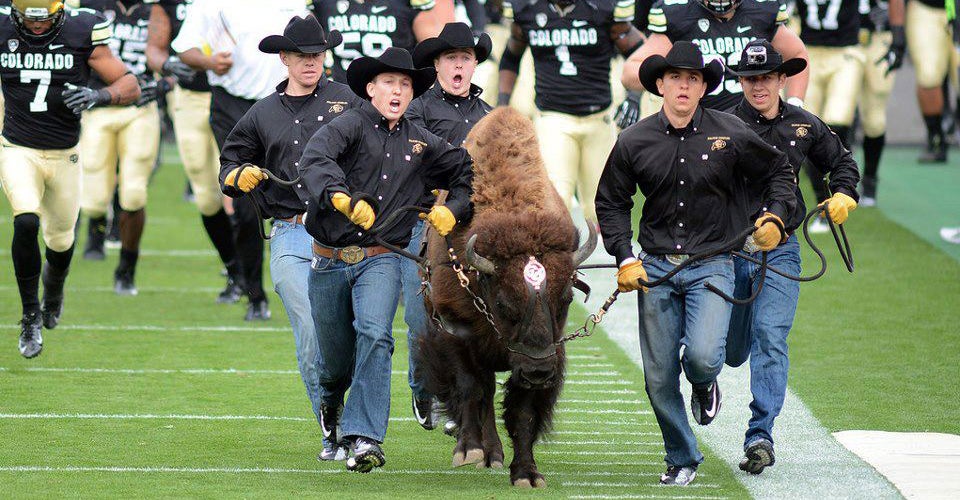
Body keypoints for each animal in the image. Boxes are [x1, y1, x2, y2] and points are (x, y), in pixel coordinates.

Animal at [418, 107, 592, 486]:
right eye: (503, 304)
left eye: (567, 300)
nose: (540, 371)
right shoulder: (454, 331)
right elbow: (472, 389)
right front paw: (469, 451)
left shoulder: (543, 350)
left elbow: (522, 412)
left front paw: (527, 474)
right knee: (481, 394)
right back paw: (488, 453)